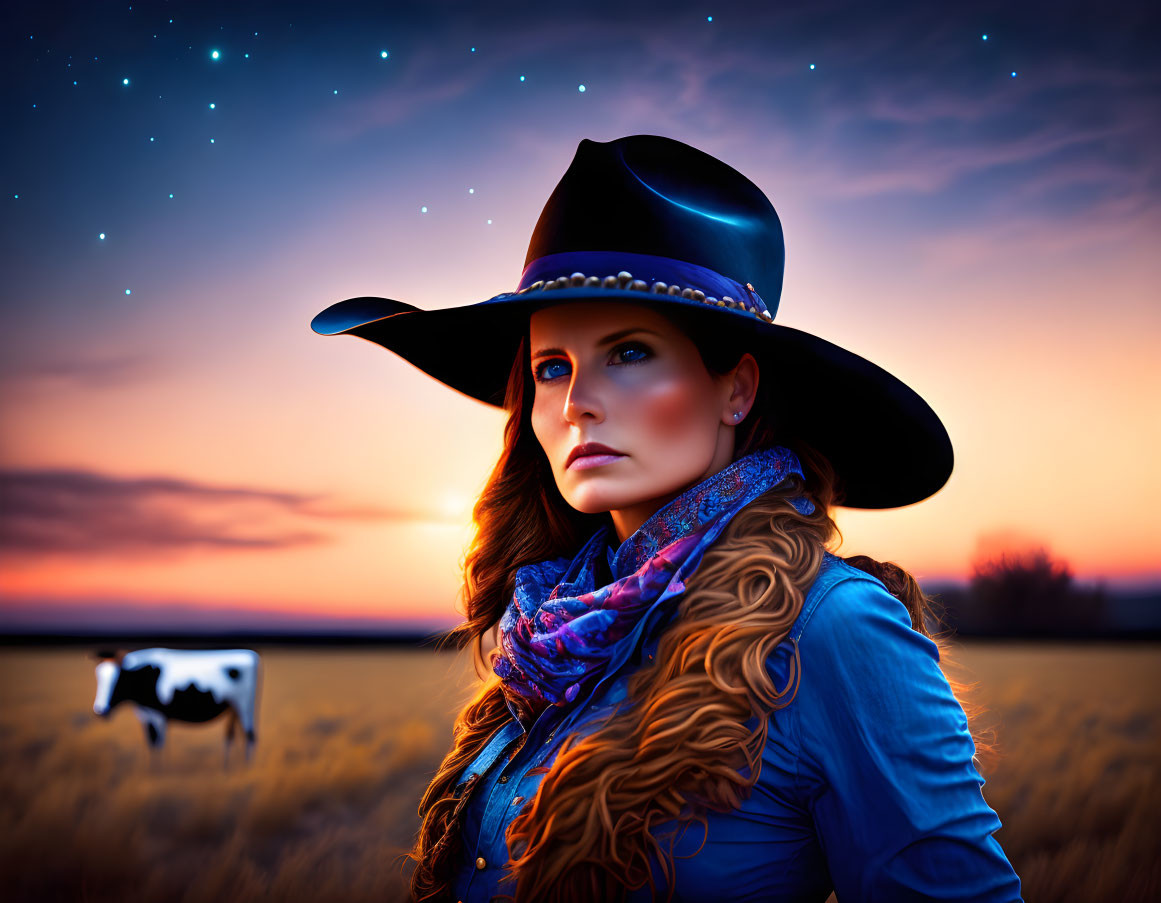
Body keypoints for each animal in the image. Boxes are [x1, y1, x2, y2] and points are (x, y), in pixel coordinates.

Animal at [92, 645, 261, 761]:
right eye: (98, 678)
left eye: (118, 681)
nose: (100, 709)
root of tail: (249, 654)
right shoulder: (147, 716)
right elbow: (152, 745)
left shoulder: (158, 716)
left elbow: (158, 746)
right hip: (234, 708)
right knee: (231, 736)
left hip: (246, 706)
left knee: (250, 737)